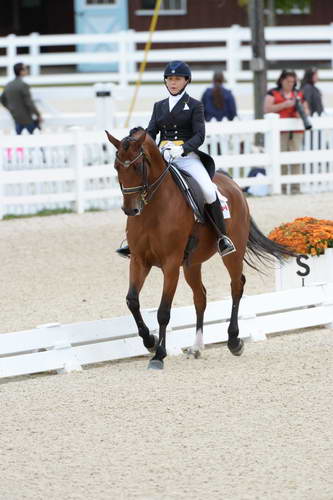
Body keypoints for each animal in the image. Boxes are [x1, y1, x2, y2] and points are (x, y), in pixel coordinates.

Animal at [105, 128, 292, 372]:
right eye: (116, 167)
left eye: (137, 166)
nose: (131, 209)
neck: (154, 209)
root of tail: (232, 184)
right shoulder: (139, 260)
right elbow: (132, 301)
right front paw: (150, 341)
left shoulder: (171, 263)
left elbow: (163, 311)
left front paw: (159, 355)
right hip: (191, 264)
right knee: (200, 296)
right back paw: (196, 347)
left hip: (232, 254)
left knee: (236, 287)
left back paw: (234, 341)